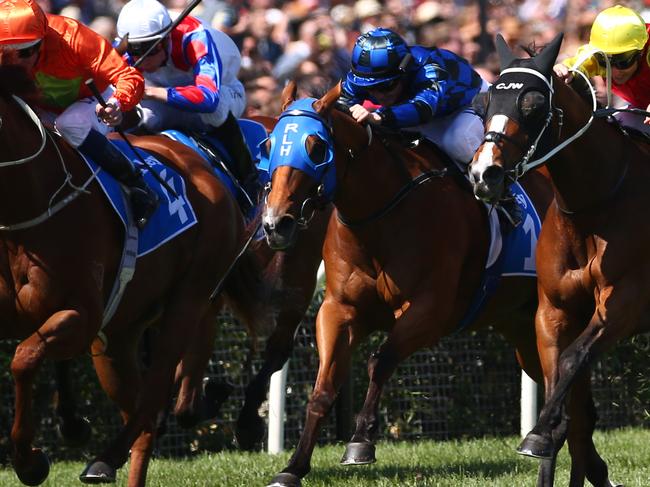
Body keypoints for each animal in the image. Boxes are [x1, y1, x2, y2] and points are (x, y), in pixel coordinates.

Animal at [0, 66, 246, 487]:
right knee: (140, 415)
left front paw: (30, 461)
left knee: (152, 399)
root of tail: (206, 167)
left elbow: (24, 358)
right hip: (119, 336)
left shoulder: (82, 316)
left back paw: (104, 459)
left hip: (188, 299)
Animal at [260, 82, 556, 486]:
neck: (380, 218)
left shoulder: (432, 311)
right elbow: (323, 387)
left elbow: (380, 361)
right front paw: (293, 467)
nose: (276, 223)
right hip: (523, 327)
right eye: (269, 145)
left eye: (316, 147)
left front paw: (360, 441)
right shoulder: (338, 309)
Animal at [466, 32, 644, 486]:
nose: (484, 174)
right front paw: (545, 435)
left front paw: (538, 433)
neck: (592, 208)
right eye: (483, 102)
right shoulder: (553, 312)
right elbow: (567, 402)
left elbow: (572, 360)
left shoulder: (623, 305)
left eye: (532, 106)